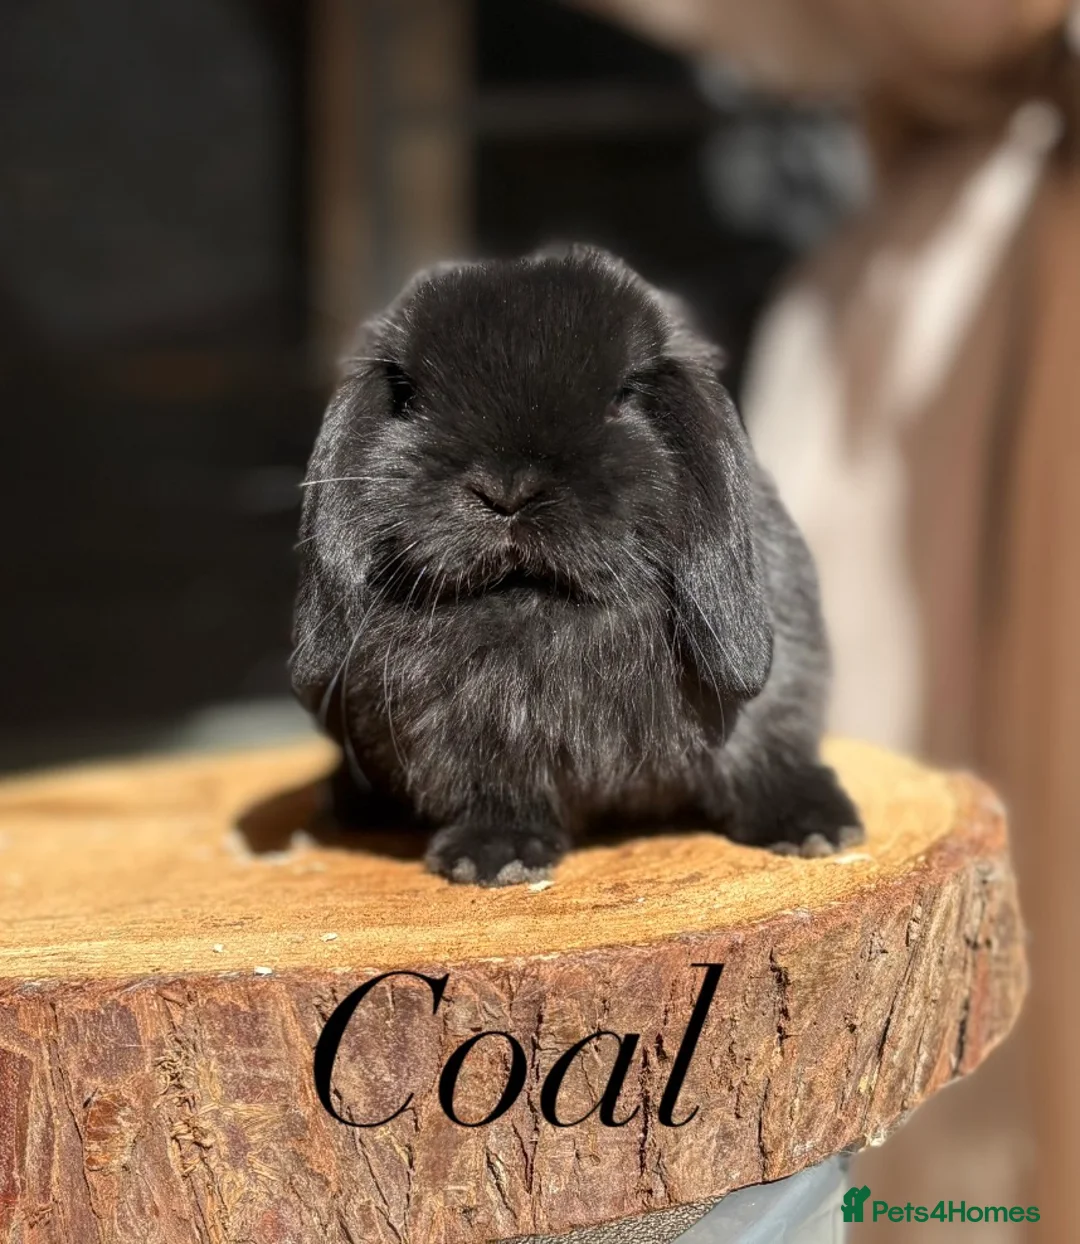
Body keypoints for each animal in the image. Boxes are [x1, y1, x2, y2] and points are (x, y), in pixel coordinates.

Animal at [290, 244, 863, 885]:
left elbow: (766, 752)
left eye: (623, 396)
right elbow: (497, 793)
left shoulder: (775, 692)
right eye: (408, 396)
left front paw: (815, 826)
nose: (507, 490)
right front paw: (494, 857)